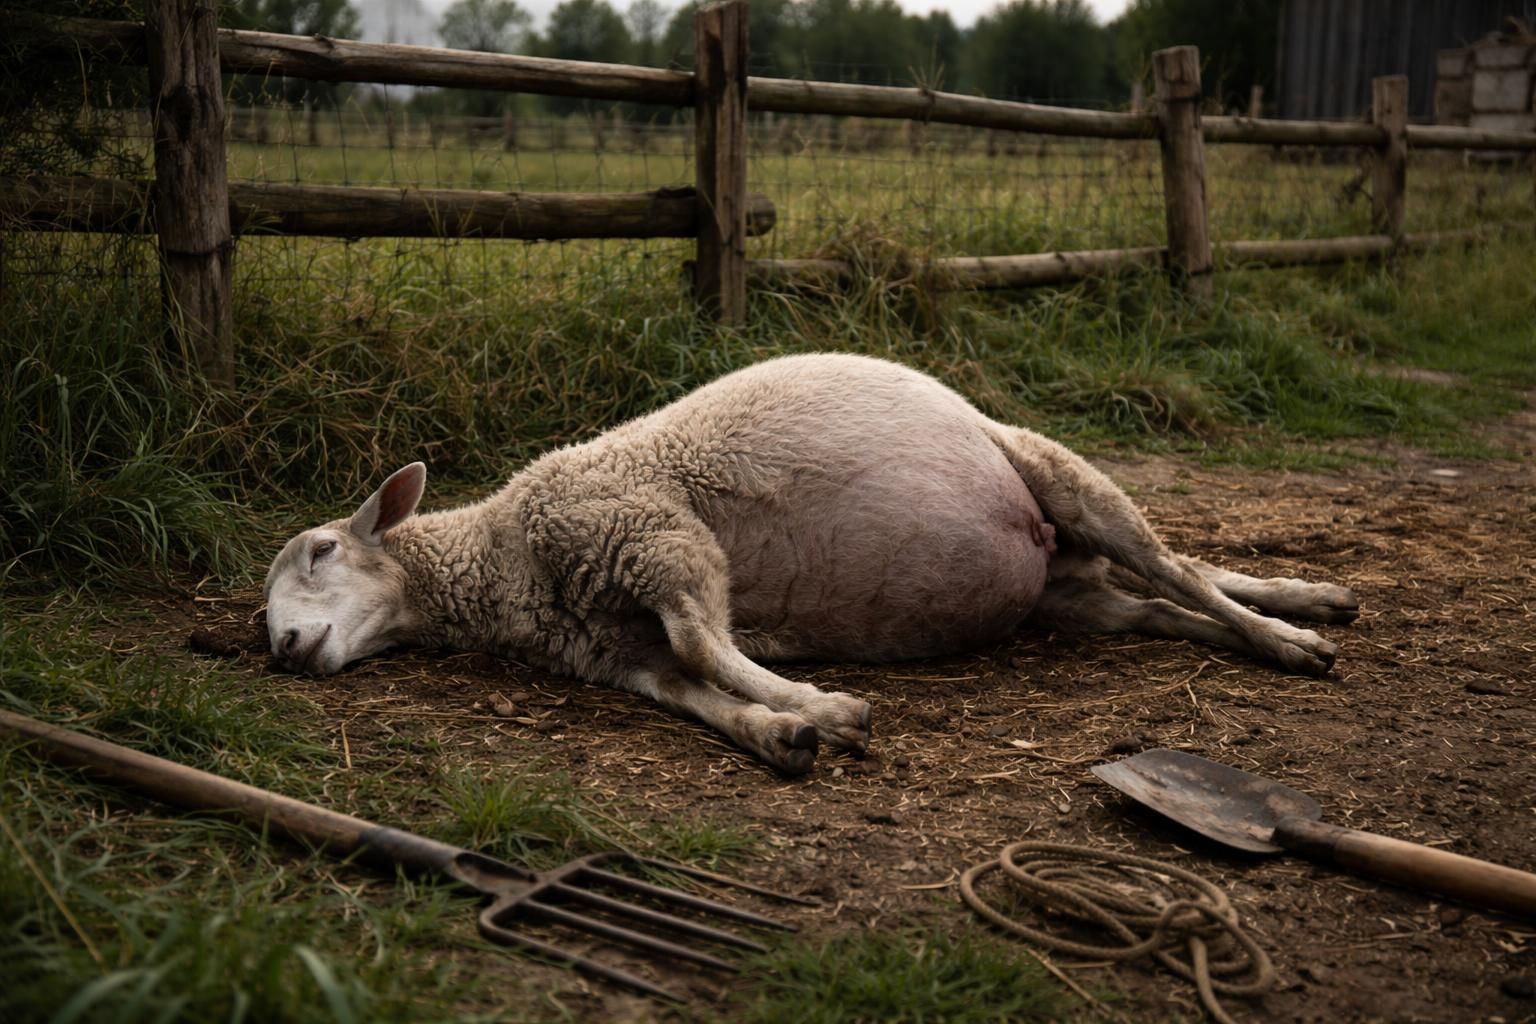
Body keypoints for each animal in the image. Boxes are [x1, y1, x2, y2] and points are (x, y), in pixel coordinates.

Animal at [264, 353, 1359, 774]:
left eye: (321, 549)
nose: (278, 647)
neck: (506, 556)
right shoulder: (613, 649)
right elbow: (690, 686)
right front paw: (780, 730)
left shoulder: (658, 540)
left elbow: (707, 646)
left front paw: (823, 706)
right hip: (1066, 597)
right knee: (1165, 600)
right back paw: (1306, 600)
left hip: (1059, 474)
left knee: (1174, 565)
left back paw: (1293, 634)